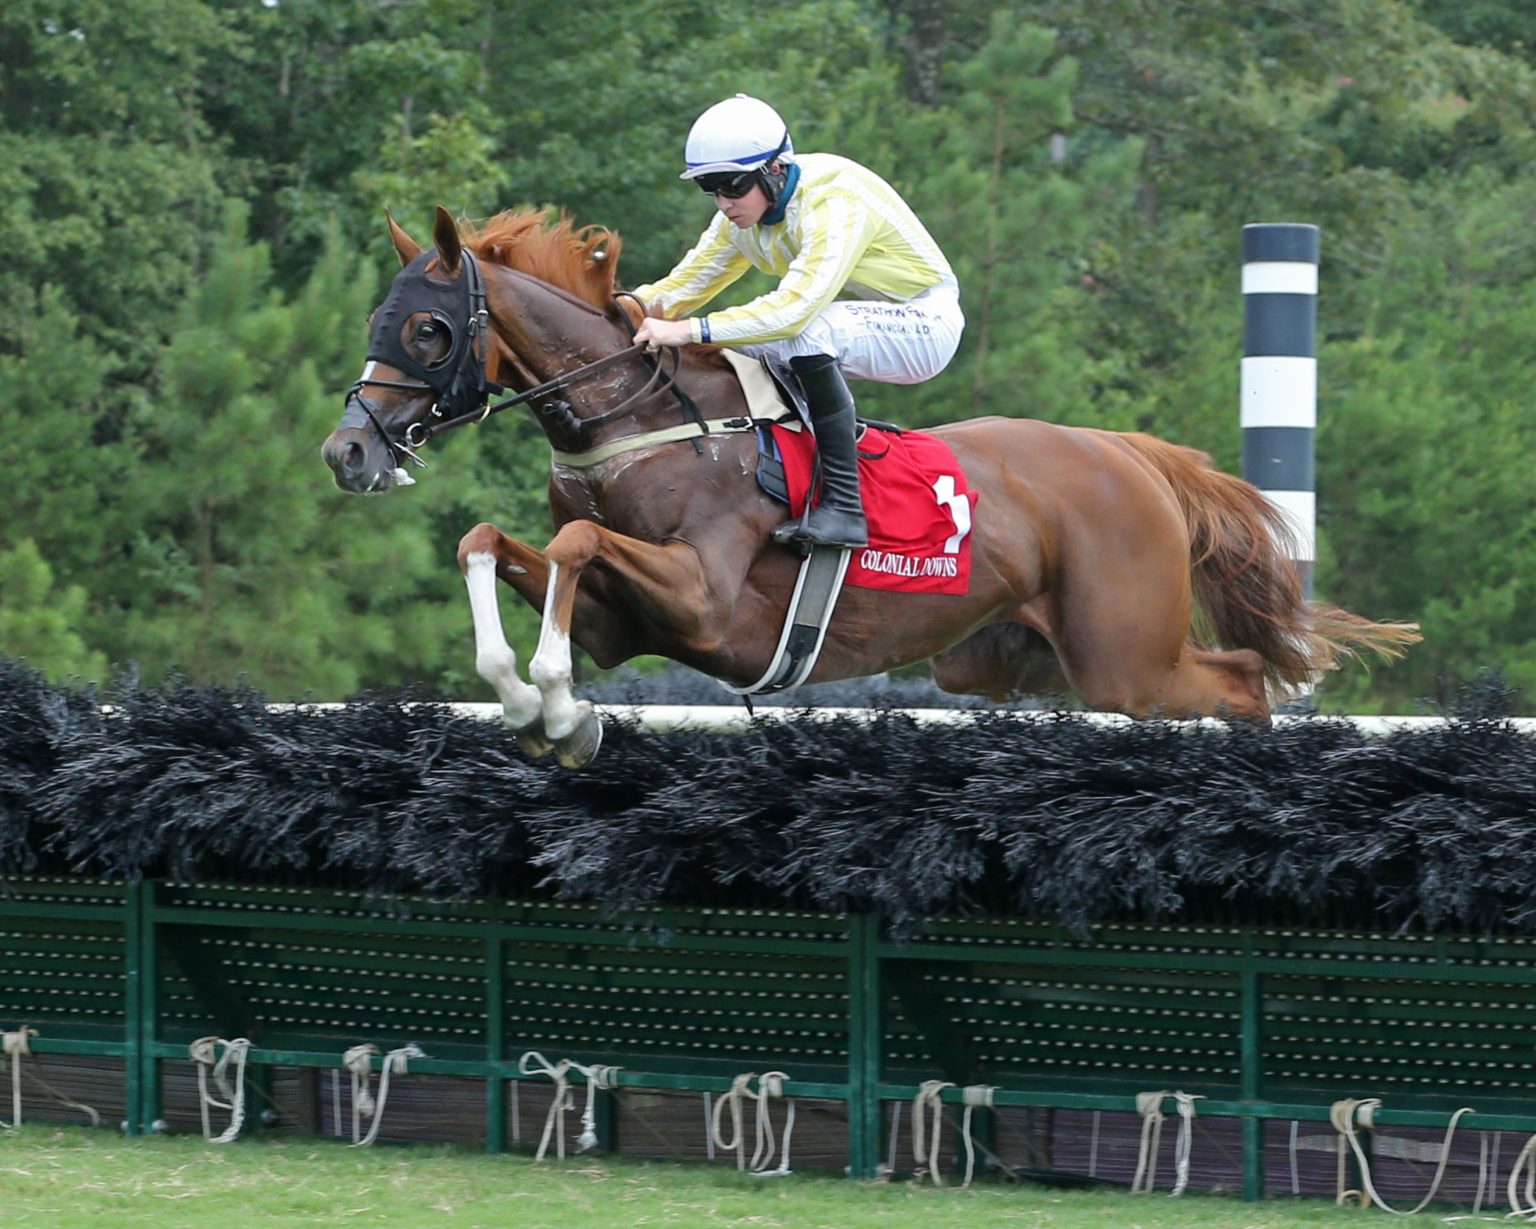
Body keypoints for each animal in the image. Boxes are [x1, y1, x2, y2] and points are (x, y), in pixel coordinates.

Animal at [317, 208, 1419, 768]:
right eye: (376, 317)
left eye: (428, 328)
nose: (348, 452)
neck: (642, 420)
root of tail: (1133, 455)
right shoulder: (624, 622)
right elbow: (491, 541)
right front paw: (539, 706)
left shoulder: (707, 603)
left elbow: (577, 545)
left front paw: (551, 701)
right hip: (1009, 663)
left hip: (1127, 659)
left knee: (1241, 679)